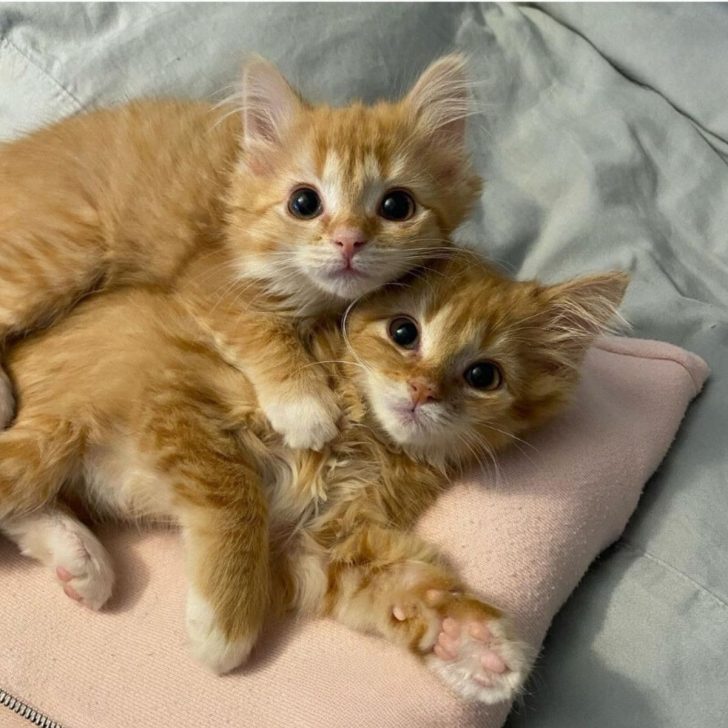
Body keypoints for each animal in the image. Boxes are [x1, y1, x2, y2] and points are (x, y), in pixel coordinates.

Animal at [0, 54, 478, 446]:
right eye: (304, 203)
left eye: (397, 206)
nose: (348, 240)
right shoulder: (207, 275)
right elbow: (259, 328)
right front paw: (304, 406)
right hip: (64, 251)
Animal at [0, 255, 624, 704]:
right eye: (405, 332)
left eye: (483, 376)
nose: (421, 392)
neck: (366, 433)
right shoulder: (172, 400)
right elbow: (236, 495)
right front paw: (225, 624)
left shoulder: (323, 542)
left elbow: (393, 580)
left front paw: (466, 639)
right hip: (61, 424)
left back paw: (80, 558)